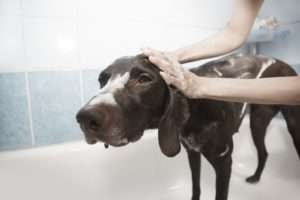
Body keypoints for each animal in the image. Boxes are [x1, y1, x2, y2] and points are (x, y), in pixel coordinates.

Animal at [76, 54, 298, 200]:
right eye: (102, 79)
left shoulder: (224, 163)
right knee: (263, 152)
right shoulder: (192, 152)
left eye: (144, 79)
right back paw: (256, 177)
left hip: (282, 124)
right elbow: (196, 187)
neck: (196, 108)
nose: (85, 118)